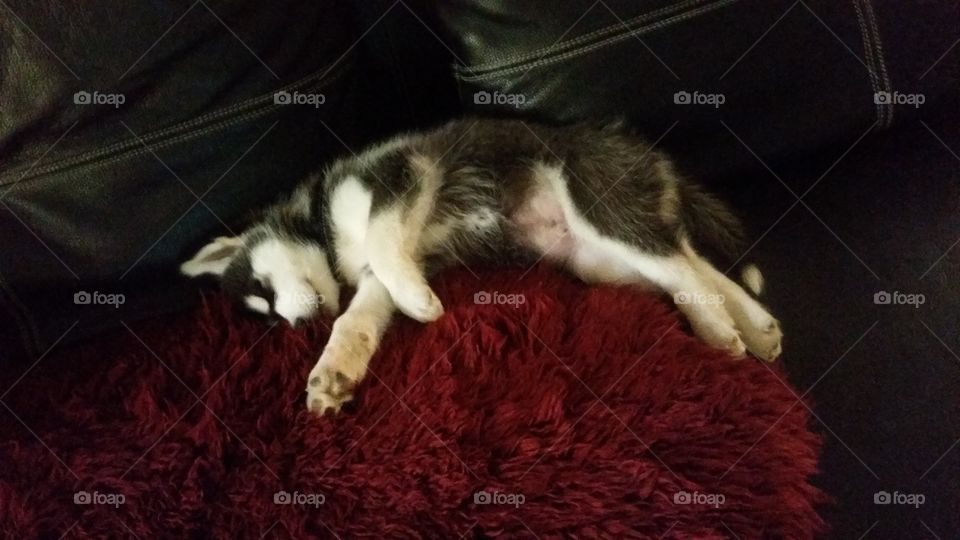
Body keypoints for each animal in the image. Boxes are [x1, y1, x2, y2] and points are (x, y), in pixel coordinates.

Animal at [180, 118, 780, 414]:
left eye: (263, 290)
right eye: (268, 317)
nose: (299, 324)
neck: (321, 221)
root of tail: (652, 159)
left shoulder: (398, 177)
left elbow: (382, 242)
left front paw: (419, 303)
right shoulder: (376, 277)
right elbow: (357, 319)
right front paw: (333, 373)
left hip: (596, 205)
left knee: (680, 265)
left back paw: (718, 328)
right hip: (598, 259)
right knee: (688, 259)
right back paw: (753, 325)